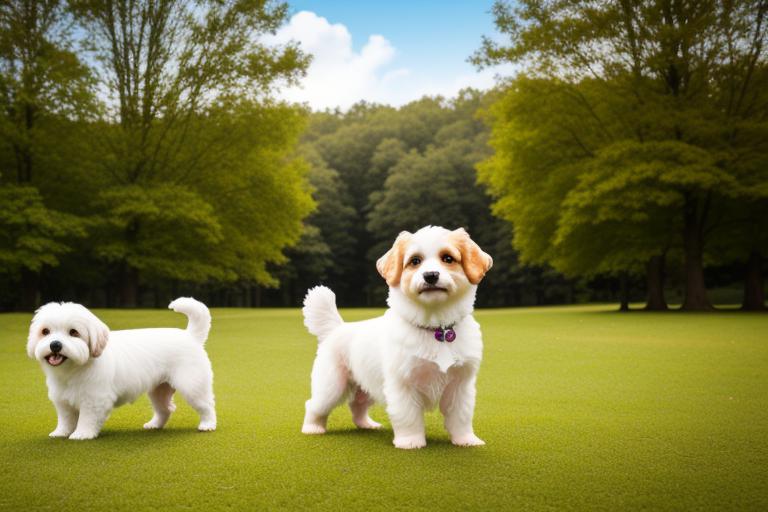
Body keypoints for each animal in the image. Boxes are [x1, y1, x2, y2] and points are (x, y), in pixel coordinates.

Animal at [27, 298, 216, 438]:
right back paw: (154, 425)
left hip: (192, 386)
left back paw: (207, 425)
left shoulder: (94, 400)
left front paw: (81, 434)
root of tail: (191, 336)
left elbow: (87, 419)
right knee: (165, 409)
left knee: (207, 405)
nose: (55, 345)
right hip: (159, 390)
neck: (73, 369)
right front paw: (61, 433)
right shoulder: (62, 400)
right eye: (45, 331)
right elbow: (65, 420)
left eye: (74, 332)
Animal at [300, 227, 492, 448]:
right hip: (331, 386)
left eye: (448, 258)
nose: (431, 275)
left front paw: (466, 440)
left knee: (357, 405)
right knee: (314, 405)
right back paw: (313, 428)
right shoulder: (402, 384)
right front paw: (411, 442)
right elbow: (408, 417)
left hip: (368, 386)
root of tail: (336, 329)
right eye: (415, 261)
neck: (436, 328)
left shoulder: (460, 385)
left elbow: (461, 417)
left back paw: (367, 424)